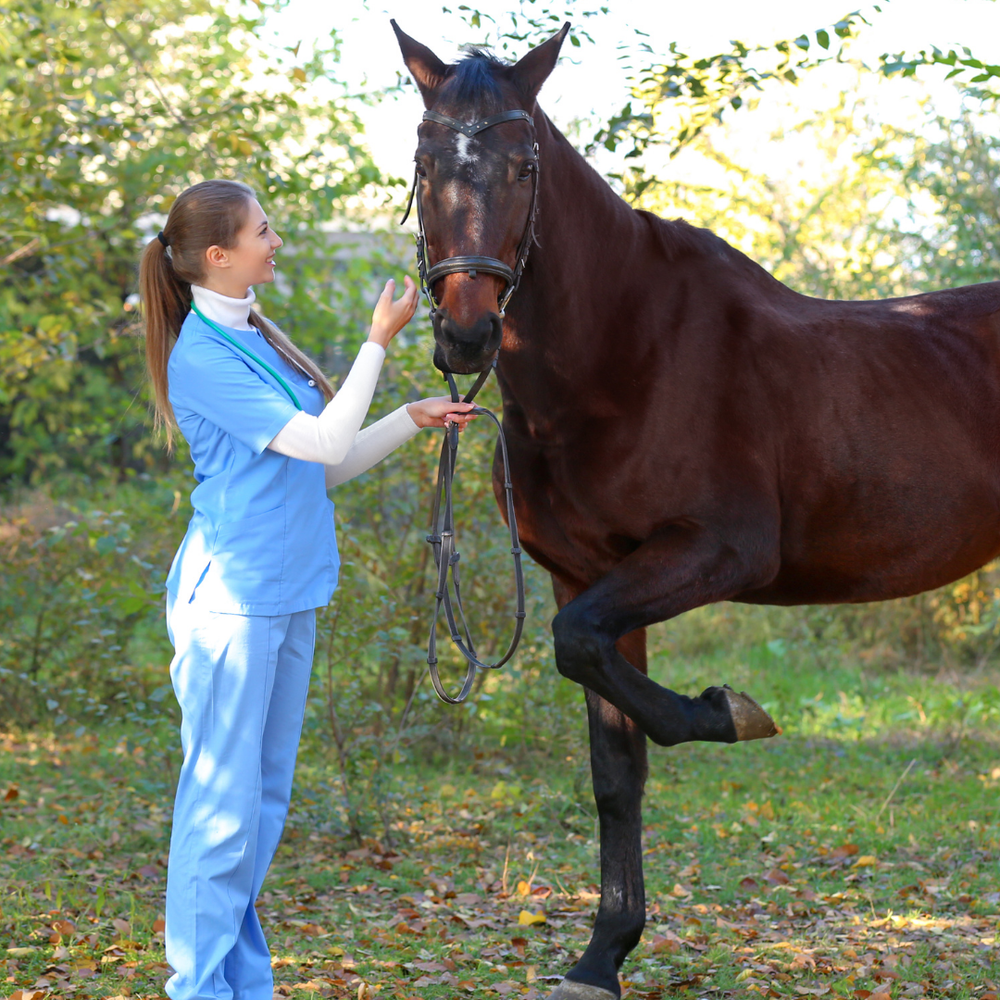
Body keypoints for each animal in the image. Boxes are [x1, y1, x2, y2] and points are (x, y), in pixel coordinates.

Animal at [392, 21, 1000, 1000]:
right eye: (423, 158)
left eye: (523, 165)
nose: (467, 334)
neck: (626, 354)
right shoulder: (585, 578)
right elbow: (613, 764)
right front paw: (602, 954)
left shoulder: (715, 551)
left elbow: (598, 667)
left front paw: (728, 710)